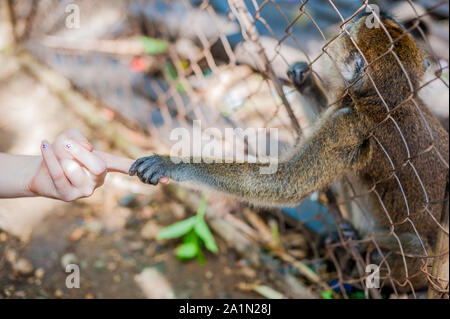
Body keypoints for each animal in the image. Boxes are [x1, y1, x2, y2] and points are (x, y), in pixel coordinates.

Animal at [128, 13, 448, 292]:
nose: (373, 16)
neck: (388, 102)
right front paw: (304, 80)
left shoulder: (345, 123)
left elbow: (285, 183)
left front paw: (174, 165)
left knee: (399, 249)